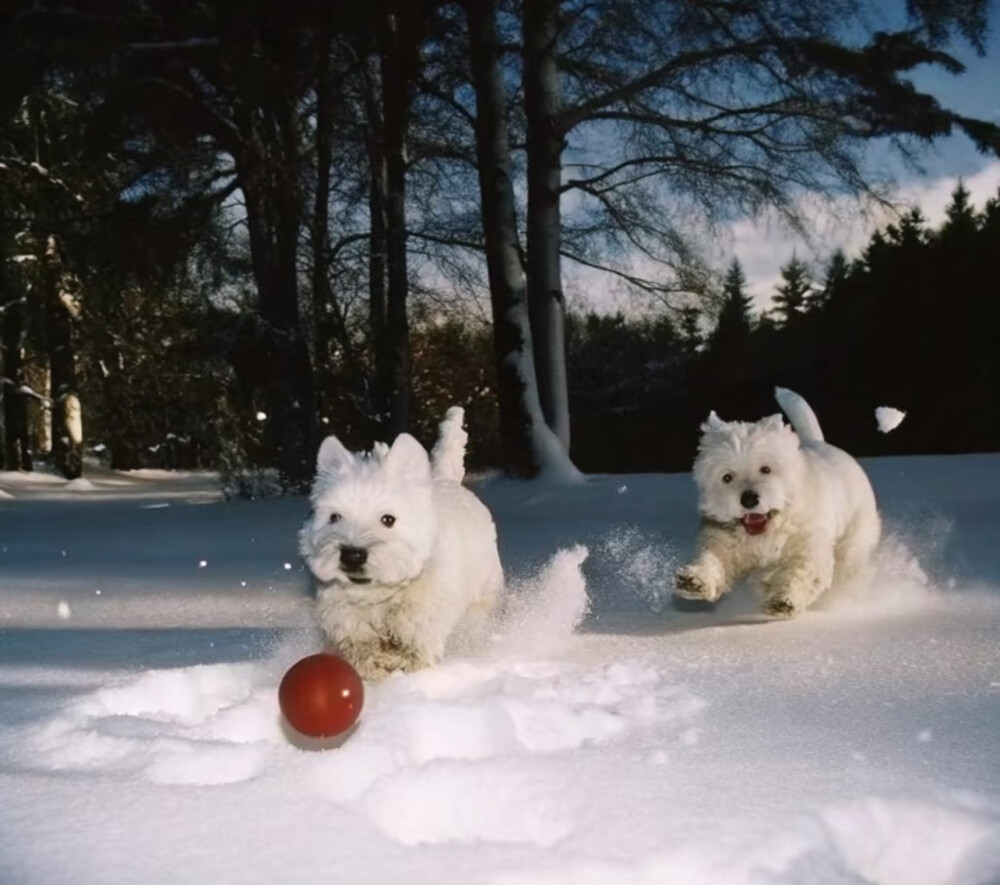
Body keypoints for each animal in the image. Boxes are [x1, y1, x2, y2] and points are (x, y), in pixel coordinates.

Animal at [294, 406, 500, 676]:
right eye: (335, 517)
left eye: (388, 519)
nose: (352, 555)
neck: (378, 593)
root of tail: (445, 479)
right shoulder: (344, 620)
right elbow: (361, 650)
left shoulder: (423, 624)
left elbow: (414, 653)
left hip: (481, 598)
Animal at [676, 386, 880, 616]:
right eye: (727, 477)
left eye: (766, 469)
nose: (749, 499)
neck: (768, 529)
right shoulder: (724, 539)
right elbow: (713, 557)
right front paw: (694, 581)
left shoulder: (808, 544)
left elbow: (802, 572)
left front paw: (784, 600)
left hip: (855, 538)